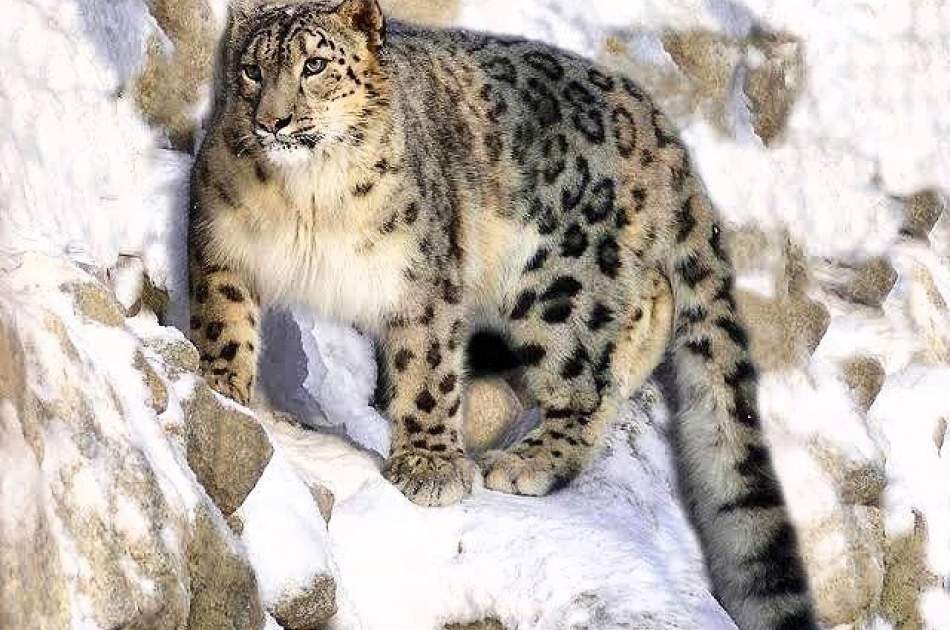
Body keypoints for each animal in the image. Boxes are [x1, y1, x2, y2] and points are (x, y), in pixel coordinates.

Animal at [186, 2, 820, 628]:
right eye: (252, 70)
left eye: (315, 64)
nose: (274, 121)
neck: (306, 199)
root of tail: (660, 127)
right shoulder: (221, 240)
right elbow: (223, 321)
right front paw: (223, 388)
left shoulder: (424, 274)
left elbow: (428, 370)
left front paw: (429, 466)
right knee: (650, 306)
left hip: (562, 286)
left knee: (589, 373)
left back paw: (529, 460)